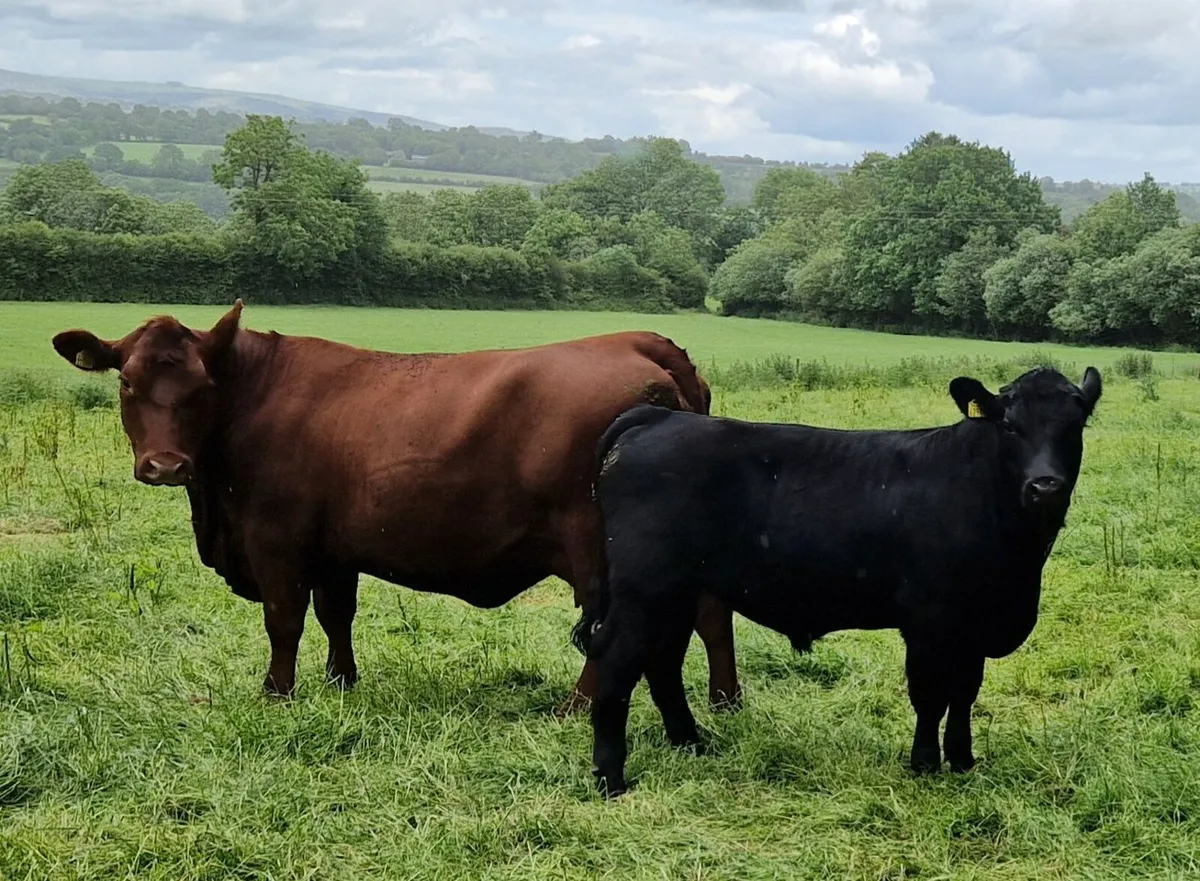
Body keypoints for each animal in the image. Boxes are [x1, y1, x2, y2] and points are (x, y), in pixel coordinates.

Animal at [50, 300, 742, 712]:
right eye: (128, 382)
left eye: (199, 385)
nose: (165, 466)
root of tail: (643, 345)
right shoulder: (334, 548)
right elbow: (336, 615)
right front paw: (341, 682)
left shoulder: (276, 538)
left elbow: (284, 620)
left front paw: (276, 694)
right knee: (712, 614)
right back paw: (723, 699)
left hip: (597, 546)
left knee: (615, 626)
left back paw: (579, 709)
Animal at [576, 365, 1102, 796]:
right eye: (1010, 426)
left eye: (1074, 426)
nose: (1045, 485)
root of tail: (659, 418)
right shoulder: (929, 620)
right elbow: (930, 695)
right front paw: (925, 765)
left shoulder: (973, 625)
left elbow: (964, 693)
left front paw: (962, 760)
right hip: (644, 591)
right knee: (619, 664)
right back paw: (611, 778)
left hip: (677, 593)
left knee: (662, 662)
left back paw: (691, 743)